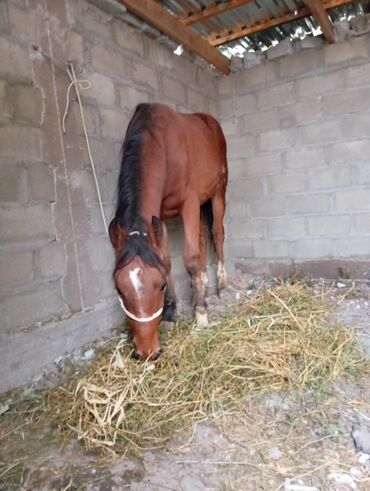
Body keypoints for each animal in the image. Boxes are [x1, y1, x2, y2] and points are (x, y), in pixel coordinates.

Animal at [108, 104, 227, 362]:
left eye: (160, 286)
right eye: (119, 289)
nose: (147, 351)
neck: (161, 145)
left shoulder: (189, 202)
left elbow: (190, 260)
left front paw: (201, 315)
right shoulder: (159, 215)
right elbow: (167, 260)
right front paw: (171, 314)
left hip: (218, 192)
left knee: (217, 232)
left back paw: (222, 283)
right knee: (202, 239)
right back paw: (202, 285)